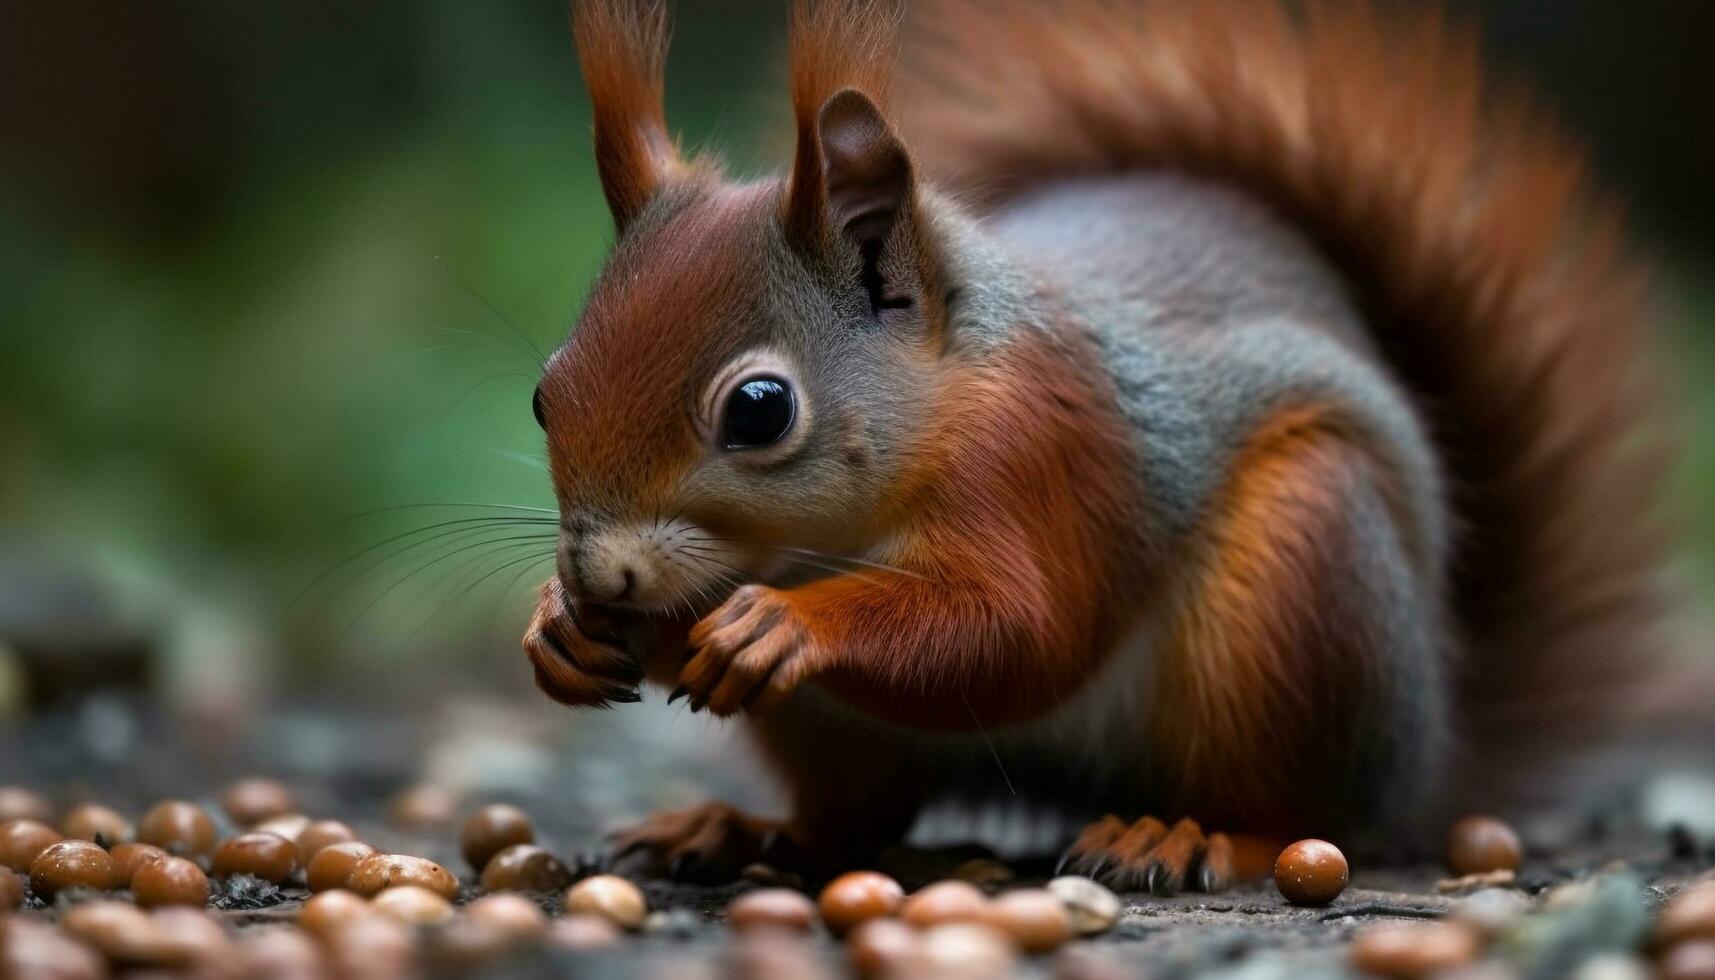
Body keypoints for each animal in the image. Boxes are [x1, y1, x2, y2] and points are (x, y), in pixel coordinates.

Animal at [521, 0, 1673, 892]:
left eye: (759, 409)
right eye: (543, 392)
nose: (599, 572)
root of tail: (1431, 750)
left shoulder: (1051, 455)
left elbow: (1021, 633)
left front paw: (775, 624)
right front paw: (559, 628)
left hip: (1302, 585)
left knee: (1308, 814)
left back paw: (1191, 834)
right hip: (839, 733)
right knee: (851, 818)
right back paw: (739, 828)